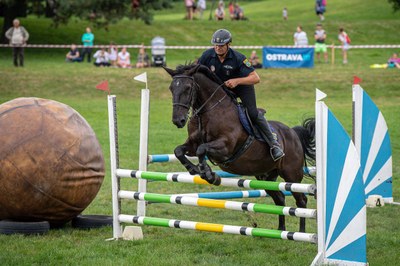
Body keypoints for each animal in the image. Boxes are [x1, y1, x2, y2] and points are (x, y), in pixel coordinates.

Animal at [163, 63, 316, 232]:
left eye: (188, 87)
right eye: (171, 88)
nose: (178, 120)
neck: (209, 112)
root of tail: (293, 133)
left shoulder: (225, 147)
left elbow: (202, 149)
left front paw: (209, 175)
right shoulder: (191, 144)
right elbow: (180, 151)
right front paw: (195, 170)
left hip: (291, 174)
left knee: (301, 201)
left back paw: (300, 232)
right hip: (266, 176)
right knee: (280, 198)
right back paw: (281, 229)